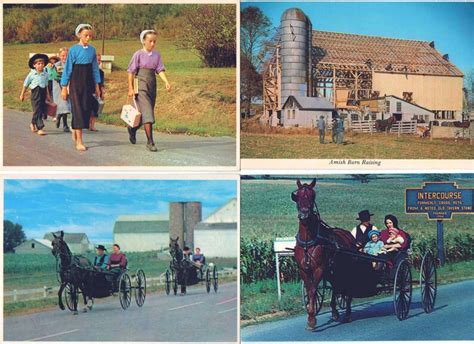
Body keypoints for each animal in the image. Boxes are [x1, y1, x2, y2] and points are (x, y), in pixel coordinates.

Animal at [290, 179, 358, 330]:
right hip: (334, 271)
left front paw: (311, 320)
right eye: (297, 196)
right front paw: (311, 316)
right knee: (336, 287)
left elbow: (313, 290)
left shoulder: (319, 269)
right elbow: (310, 290)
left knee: (347, 287)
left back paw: (348, 314)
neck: (308, 241)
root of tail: (349, 236)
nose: (304, 214)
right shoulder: (304, 270)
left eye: (312, 195)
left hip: (347, 269)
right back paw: (335, 312)